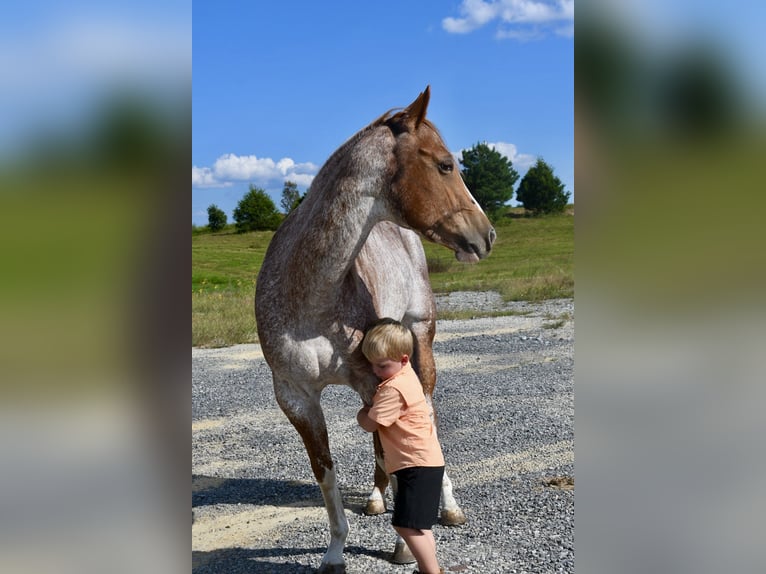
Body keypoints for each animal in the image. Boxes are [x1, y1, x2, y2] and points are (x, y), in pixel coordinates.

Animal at [255, 86, 495, 573]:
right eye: (445, 164)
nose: (488, 234)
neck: (310, 293)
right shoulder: (295, 396)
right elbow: (326, 471)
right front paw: (334, 552)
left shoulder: (375, 380)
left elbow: (400, 448)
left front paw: (404, 545)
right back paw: (375, 498)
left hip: (420, 342)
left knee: (427, 416)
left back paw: (448, 507)